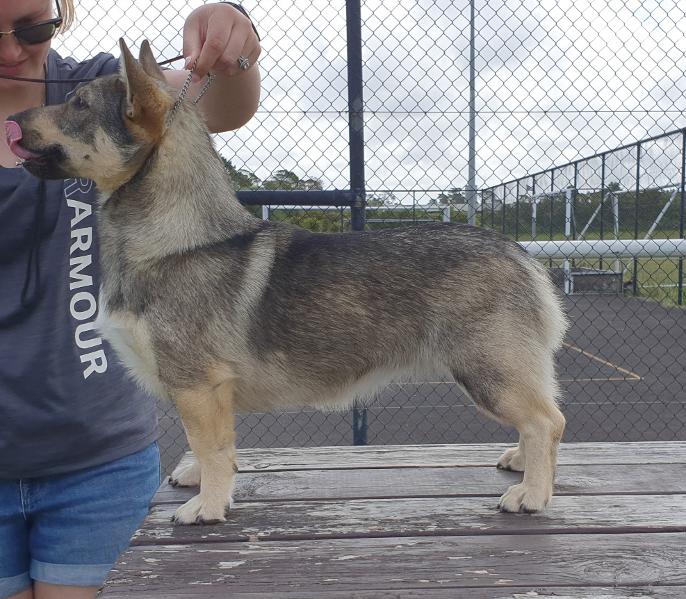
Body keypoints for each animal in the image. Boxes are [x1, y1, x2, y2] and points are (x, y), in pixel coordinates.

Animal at [8, 38, 568, 524]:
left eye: (78, 103)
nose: (12, 118)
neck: (175, 241)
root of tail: (518, 254)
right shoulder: (203, 392)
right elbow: (211, 449)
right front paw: (199, 481)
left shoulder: (197, 385)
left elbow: (213, 449)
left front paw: (208, 506)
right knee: (540, 419)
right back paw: (521, 463)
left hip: (487, 372)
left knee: (548, 421)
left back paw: (532, 494)